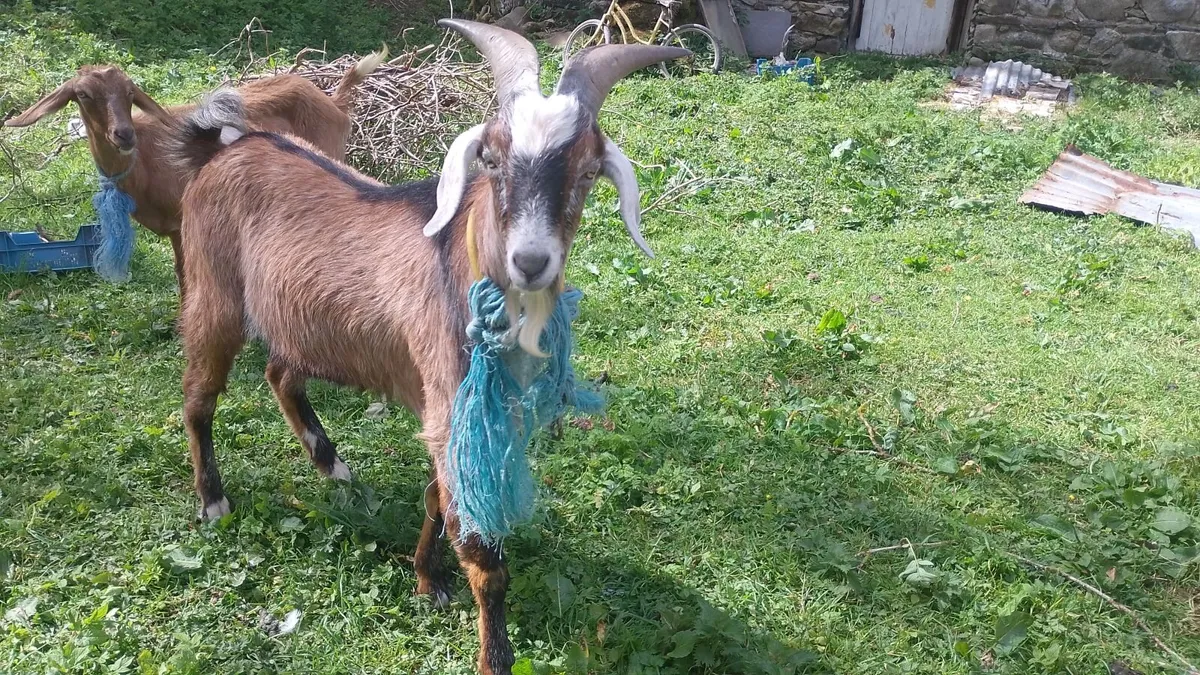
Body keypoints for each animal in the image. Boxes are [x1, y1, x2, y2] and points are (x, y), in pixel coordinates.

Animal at [3, 54, 385, 302]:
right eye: (82, 95)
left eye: (130, 94)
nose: (123, 135)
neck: (145, 160)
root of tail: (335, 101)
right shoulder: (174, 226)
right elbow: (181, 274)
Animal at [170, 19, 685, 675]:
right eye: (492, 156)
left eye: (589, 168)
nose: (531, 260)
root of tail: (225, 147)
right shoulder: (448, 403)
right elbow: (482, 553)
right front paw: (493, 656)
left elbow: (437, 496)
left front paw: (425, 578)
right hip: (213, 295)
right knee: (199, 397)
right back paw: (213, 501)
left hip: (295, 317)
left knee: (280, 374)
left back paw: (333, 466)